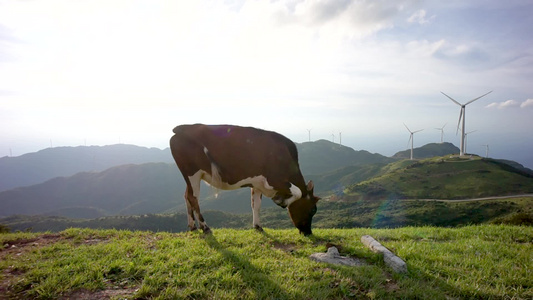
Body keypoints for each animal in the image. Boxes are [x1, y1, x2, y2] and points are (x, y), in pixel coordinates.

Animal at [170, 123, 318, 234]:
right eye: (312, 210)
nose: (308, 232)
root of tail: (181, 129)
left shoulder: (257, 183)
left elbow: (256, 205)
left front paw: (258, 226)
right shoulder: (273, 180)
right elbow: (298, 191)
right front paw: (281, 201)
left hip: (190, 176)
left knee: (187, 196)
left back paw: (192, 226)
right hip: (192, 173)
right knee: (193, 197)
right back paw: (204, 226)